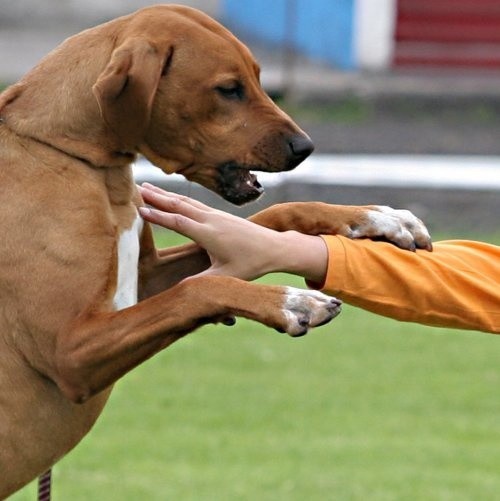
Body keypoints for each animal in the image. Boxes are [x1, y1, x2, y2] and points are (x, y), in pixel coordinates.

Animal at [0, 4, 430, 496]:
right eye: (228, 89)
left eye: (258, 78)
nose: (305, 148)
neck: (74, 156)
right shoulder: (71, 352)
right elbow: (196, 290)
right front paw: (289, 301)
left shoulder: (145, 283)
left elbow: (275, 215)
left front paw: (375, 217)